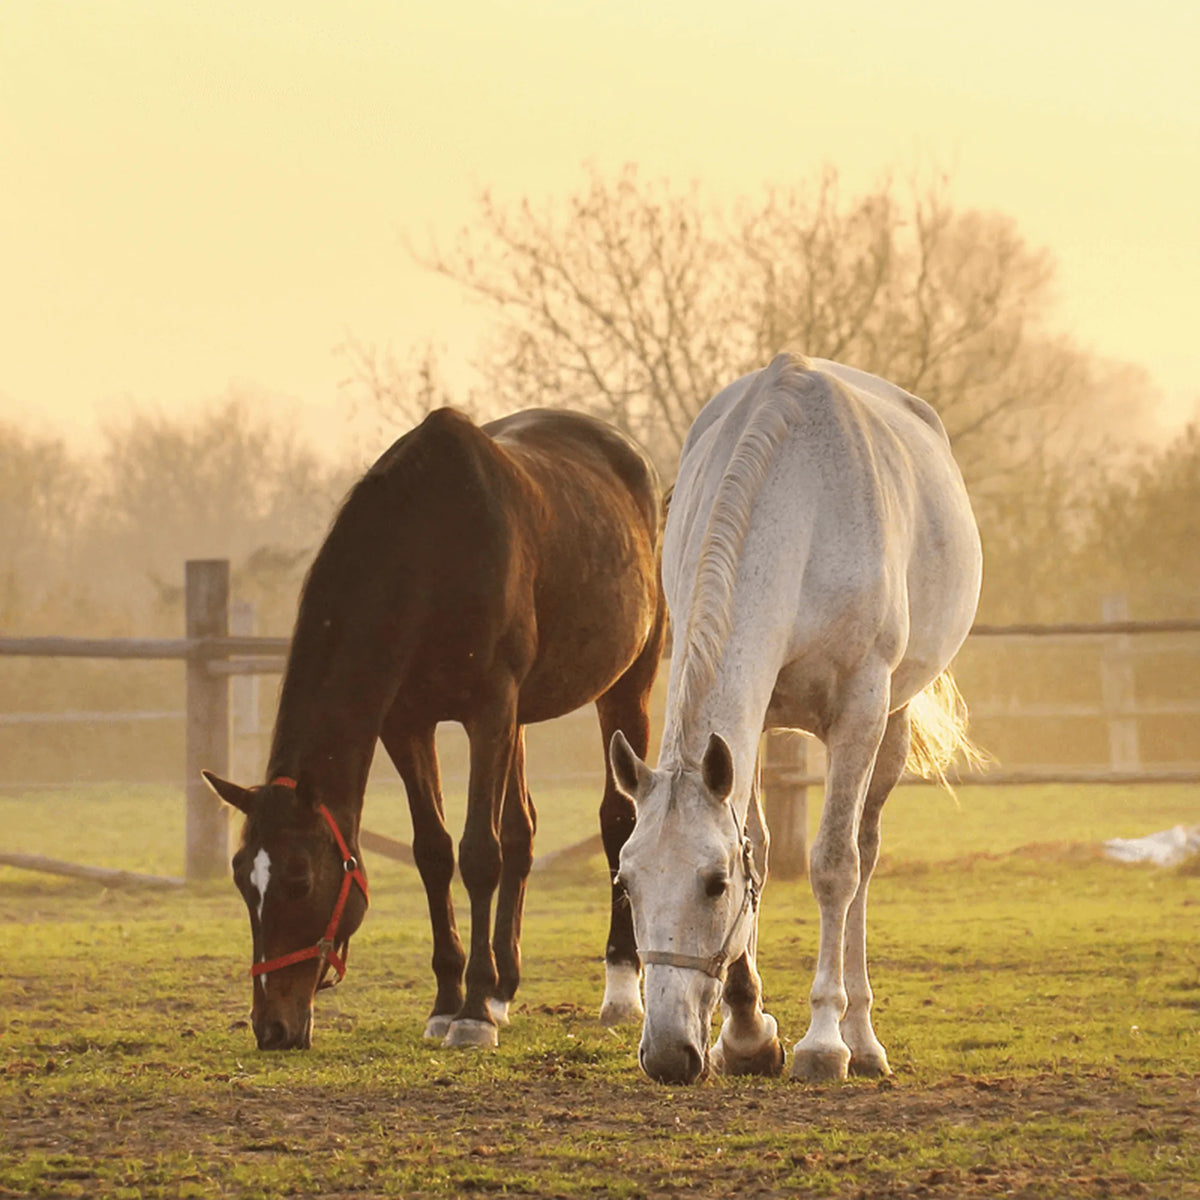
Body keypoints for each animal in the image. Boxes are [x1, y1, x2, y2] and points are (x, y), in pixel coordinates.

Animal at [204, 406, 666, 1051]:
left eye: (299, 879)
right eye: (244, 879)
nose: (272, 1027)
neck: (431, 545)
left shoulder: (489, 709)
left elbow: (478, 854)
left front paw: (471, 1015)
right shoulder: (408, 725)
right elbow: (434, 853)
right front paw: (451, 1001)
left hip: (626, 685)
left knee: (617, 821)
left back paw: (620, 990)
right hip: (521, 717)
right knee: (522, 832)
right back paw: (503, 987)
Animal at [610, 353, 982, 1085]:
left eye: (713, 884)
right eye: (626, 883)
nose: (666, 1055)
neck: (801, 507)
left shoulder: (861, 708)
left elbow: (834, 865)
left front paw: (823, 1042)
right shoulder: (750, 725)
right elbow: (757, 841)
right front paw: (748, 1034)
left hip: (891, 723)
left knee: (863, 854)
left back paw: (861, 1039)